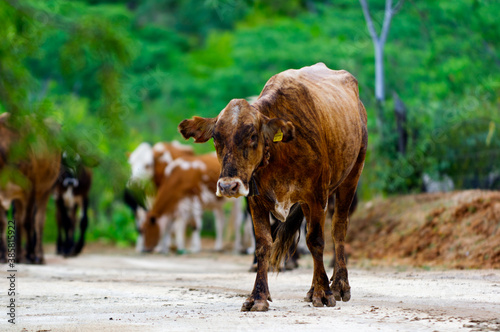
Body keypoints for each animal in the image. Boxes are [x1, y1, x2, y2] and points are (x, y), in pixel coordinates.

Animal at [0, 113, 60, 264]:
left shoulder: (31, 187)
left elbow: (28, 221)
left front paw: (30, 255)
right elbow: (3, 222)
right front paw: (4, 256)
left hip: (45, 189)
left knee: (38, 220)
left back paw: (38, 255)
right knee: (20, 218)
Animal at [180, 63, 368, 312]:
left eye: (252, 135)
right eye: (216, 138)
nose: (228, 186)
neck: (280, 151)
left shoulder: (317, 195)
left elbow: (316, 240)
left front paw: (324, 293)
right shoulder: (255, 199)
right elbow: (263, 244)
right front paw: (258, 296)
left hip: (352, 175)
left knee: (338, 228)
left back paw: (338, 285)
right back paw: (311, 289)